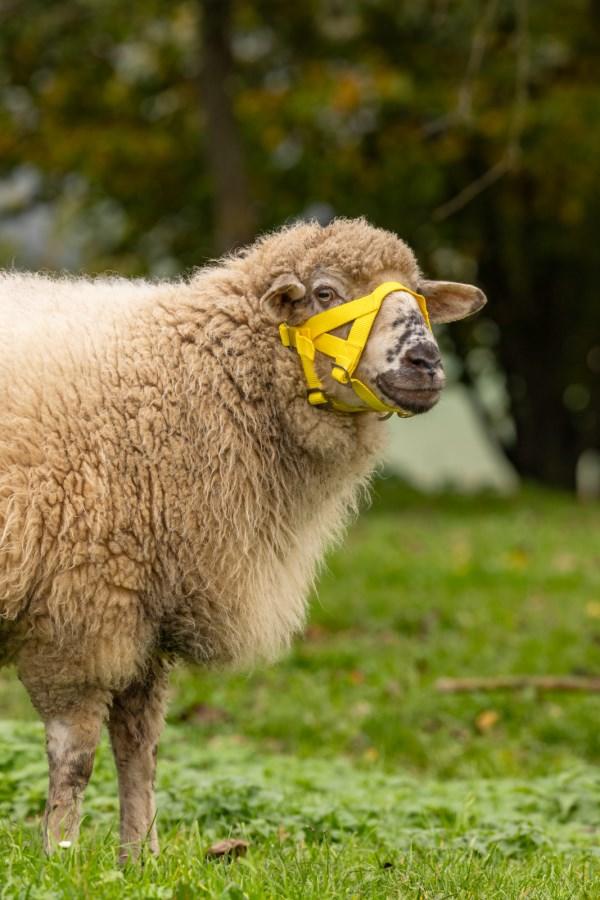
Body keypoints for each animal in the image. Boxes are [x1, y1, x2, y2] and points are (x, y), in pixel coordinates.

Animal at [0, 217, 486, 859]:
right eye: (325, 292)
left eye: (419, 297)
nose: (425, 361)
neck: (185, 382)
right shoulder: (79, 614)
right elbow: (75, 755)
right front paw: (59, 856)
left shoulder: (147, 611)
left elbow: (140, 748)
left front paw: (141, 858)